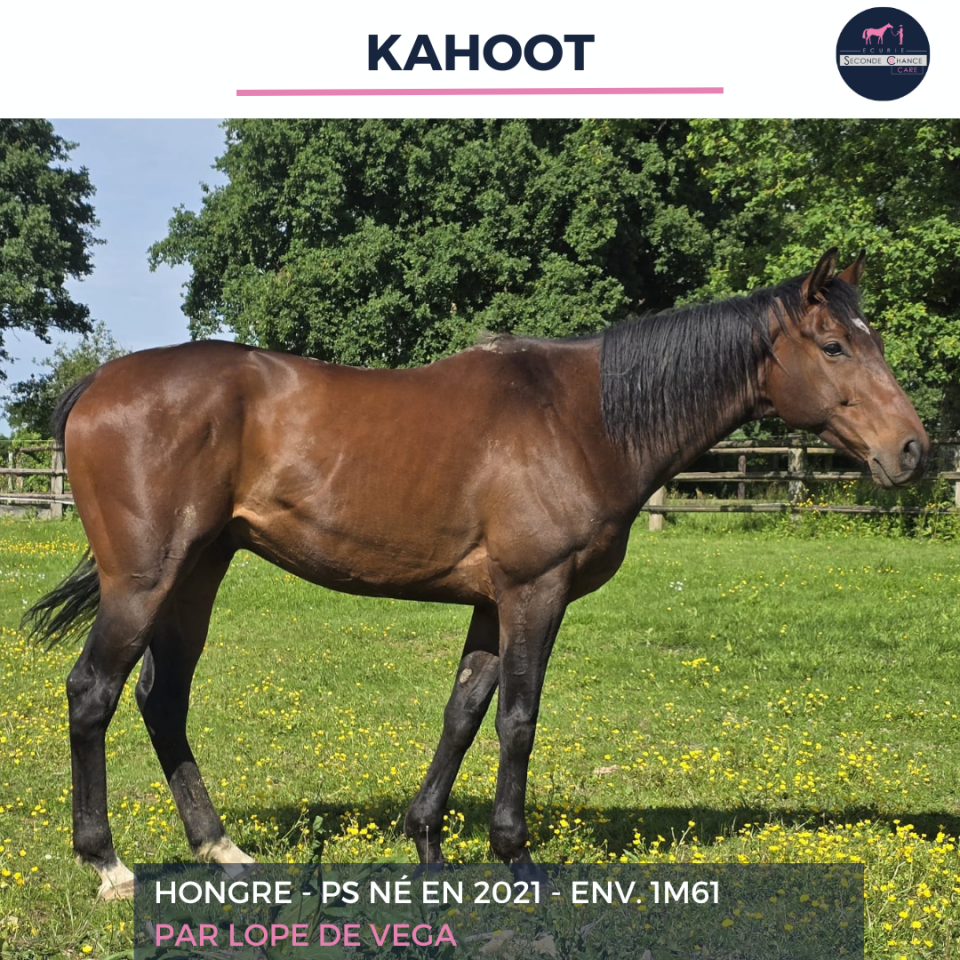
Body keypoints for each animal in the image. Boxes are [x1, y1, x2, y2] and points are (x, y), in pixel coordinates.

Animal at [25, 248, 928, 900]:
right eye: (835, 345)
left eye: (876, 341)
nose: (913, 449)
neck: (580, 418)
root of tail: (100, 381)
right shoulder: (536, 591)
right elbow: (517, 721)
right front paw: (514, 857)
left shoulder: (493, 604)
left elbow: (462, 712)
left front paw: (426, 840)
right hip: (146, 580)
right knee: (94, 692)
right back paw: (106, 864)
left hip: (199, 573)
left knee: (161, 698)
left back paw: (222, 850)